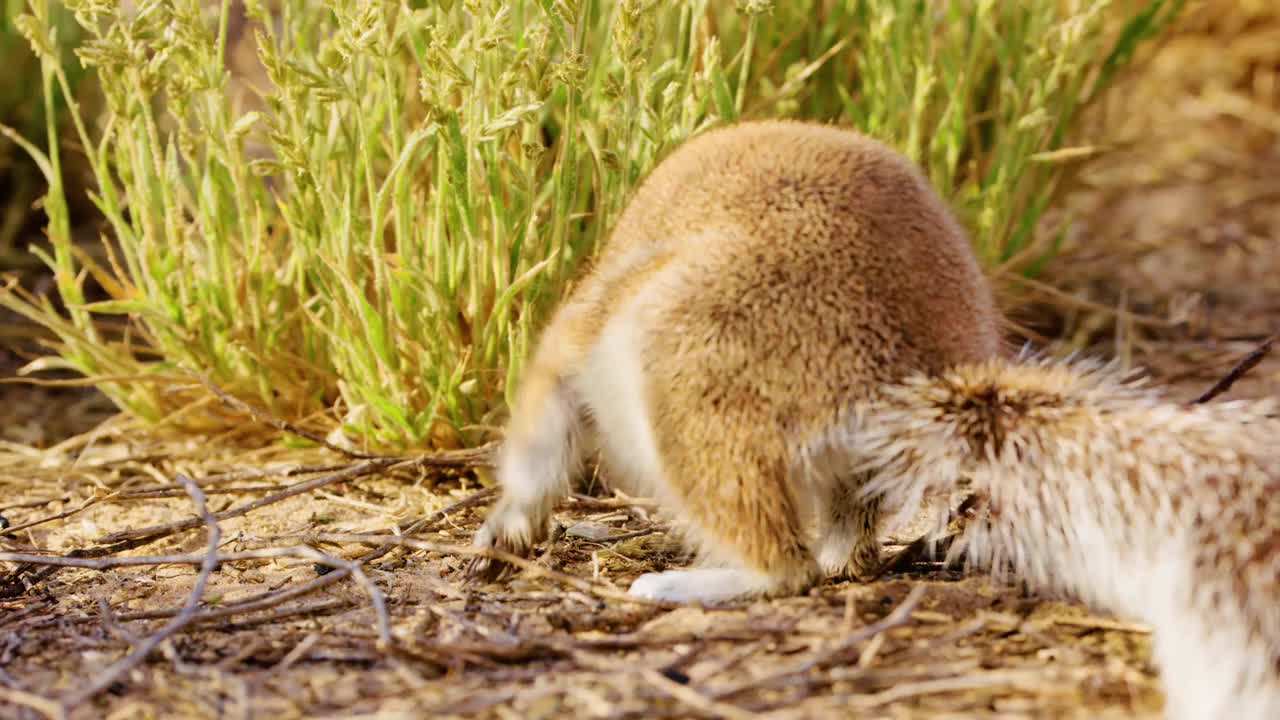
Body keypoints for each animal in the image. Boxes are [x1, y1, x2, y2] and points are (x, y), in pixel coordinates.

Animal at [465, 121, 1003, 599]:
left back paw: (670, 586)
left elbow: (538, 446)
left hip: (683, 389)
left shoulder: (573, 348)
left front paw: (498, 538)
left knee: (784, 566)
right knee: (846, 538)